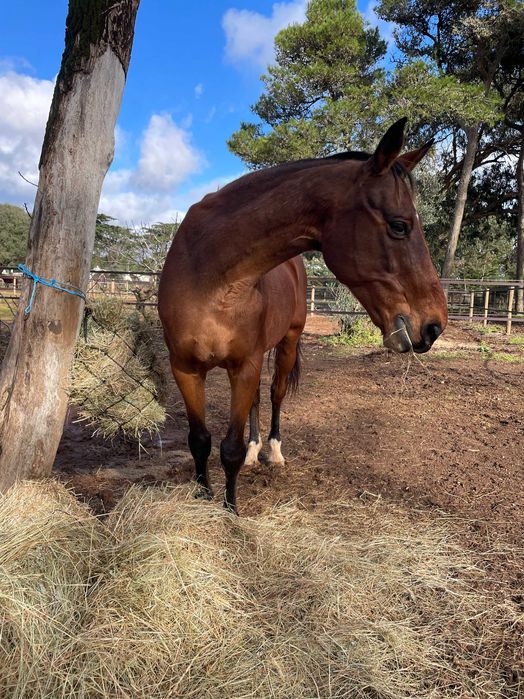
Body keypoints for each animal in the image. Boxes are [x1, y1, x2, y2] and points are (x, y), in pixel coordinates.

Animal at [158, 118, 448, 513]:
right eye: (399, 225)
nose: (434, 325)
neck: (209, 277)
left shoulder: (244, 366)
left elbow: (229, 449)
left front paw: (231, 512)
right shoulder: (185, 368)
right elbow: (200, 440)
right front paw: (203, 496)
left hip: (287, 342)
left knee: (276, 394)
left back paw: (273, 451)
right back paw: (256, 451)